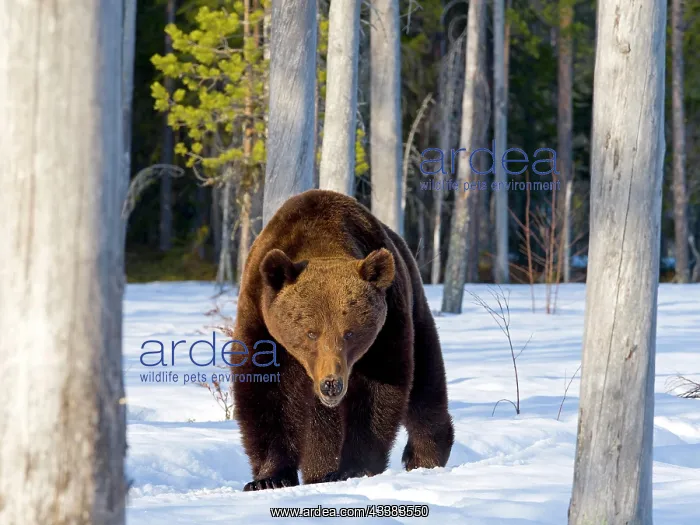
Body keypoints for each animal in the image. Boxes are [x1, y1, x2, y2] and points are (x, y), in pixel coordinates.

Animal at [230, 189, 454, 491]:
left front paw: (353, 468)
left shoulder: (385, 329)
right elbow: (266, 393)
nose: (331, 384)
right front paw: (268, 478)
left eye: (350, 332)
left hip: (414, 306)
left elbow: (378, 395)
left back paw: (423, 456)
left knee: (426, 382)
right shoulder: (261, 323)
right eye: (310, 332)